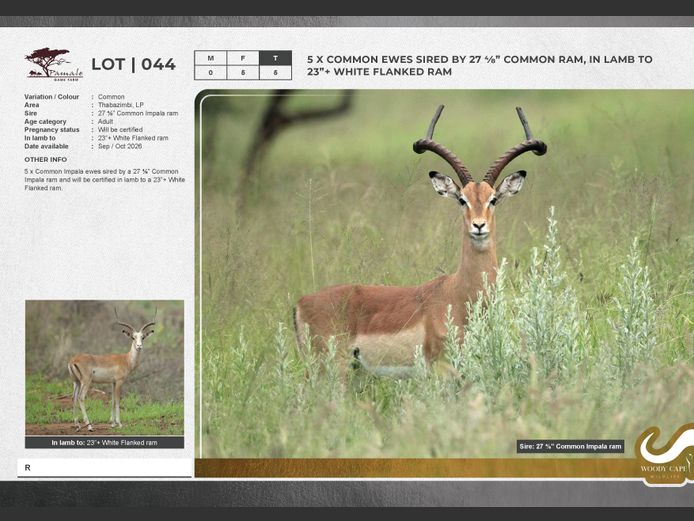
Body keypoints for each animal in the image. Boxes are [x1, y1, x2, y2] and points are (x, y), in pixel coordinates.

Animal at [294, 106, 547, 376]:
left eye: (493, 199)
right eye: (462, 200)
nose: (479, 226)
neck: (458, 294)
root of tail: (300, 303)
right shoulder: (440, 370)